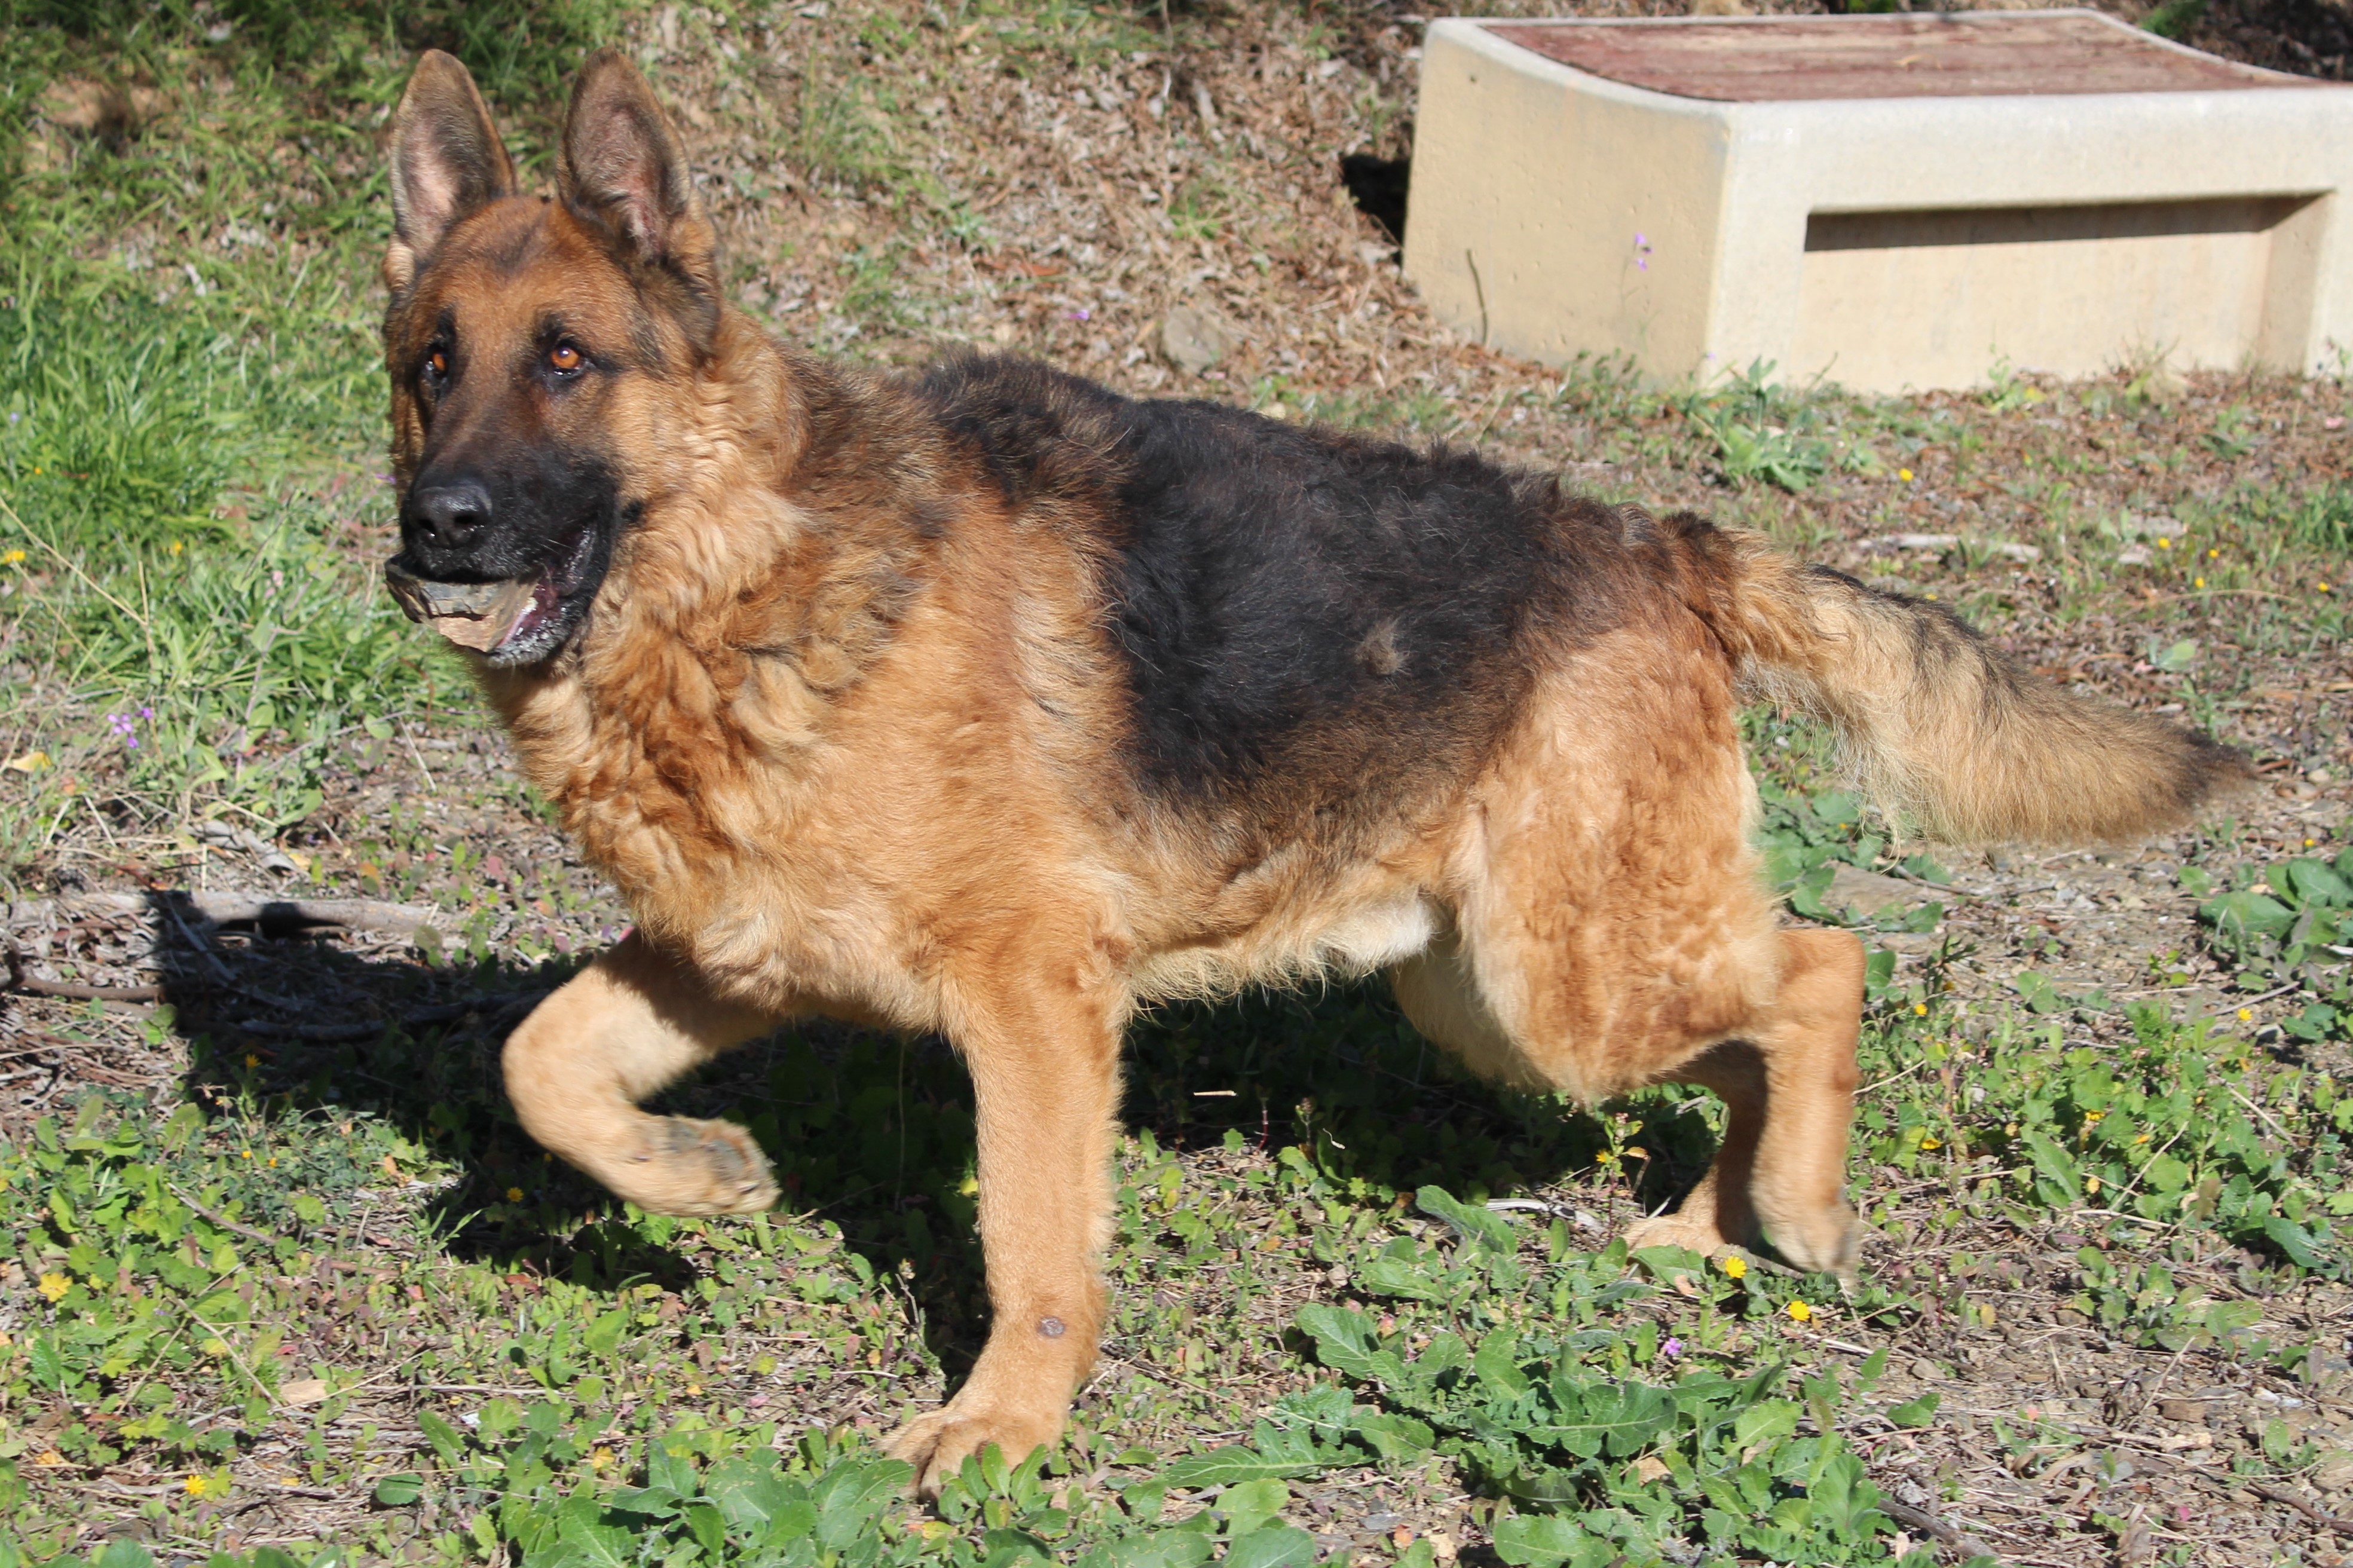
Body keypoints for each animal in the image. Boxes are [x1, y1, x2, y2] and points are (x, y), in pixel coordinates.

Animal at [381, 48, 2240, 1488]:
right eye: (430, 368)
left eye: (566, 361)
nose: (434, 529)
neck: (757, 574)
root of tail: (1662, 542)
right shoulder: (732, 953)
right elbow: (544, 1063)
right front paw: (692, 1178)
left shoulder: (1034, 1005)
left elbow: (1033, 1244)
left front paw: (1004, 1430)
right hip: (1491, 998)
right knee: (1742, 1031)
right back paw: (1718, 1216)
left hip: (1559, 984)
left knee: (1818, 968)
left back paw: (1790, 1205)